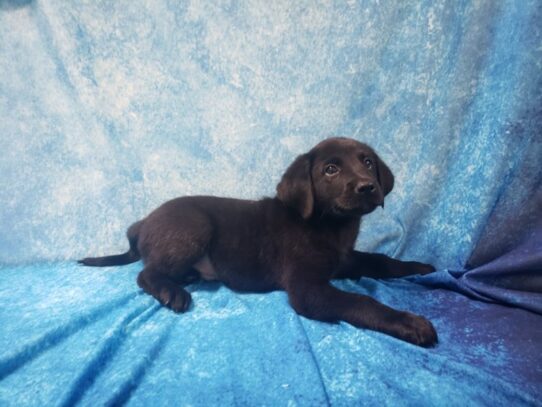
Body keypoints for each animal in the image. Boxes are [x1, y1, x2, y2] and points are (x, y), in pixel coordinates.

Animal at [81, 137, 440, 348]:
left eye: (367, 162)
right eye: (330, 169)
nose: (368, 186)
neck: (331, 226)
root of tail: (143, 222)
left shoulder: (345, 259)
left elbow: (381, 260)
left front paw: (421, 267)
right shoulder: (307, 289)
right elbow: (362, 301)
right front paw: (409, 322)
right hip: (194, 225)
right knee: (146, 273)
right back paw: (173, 291)